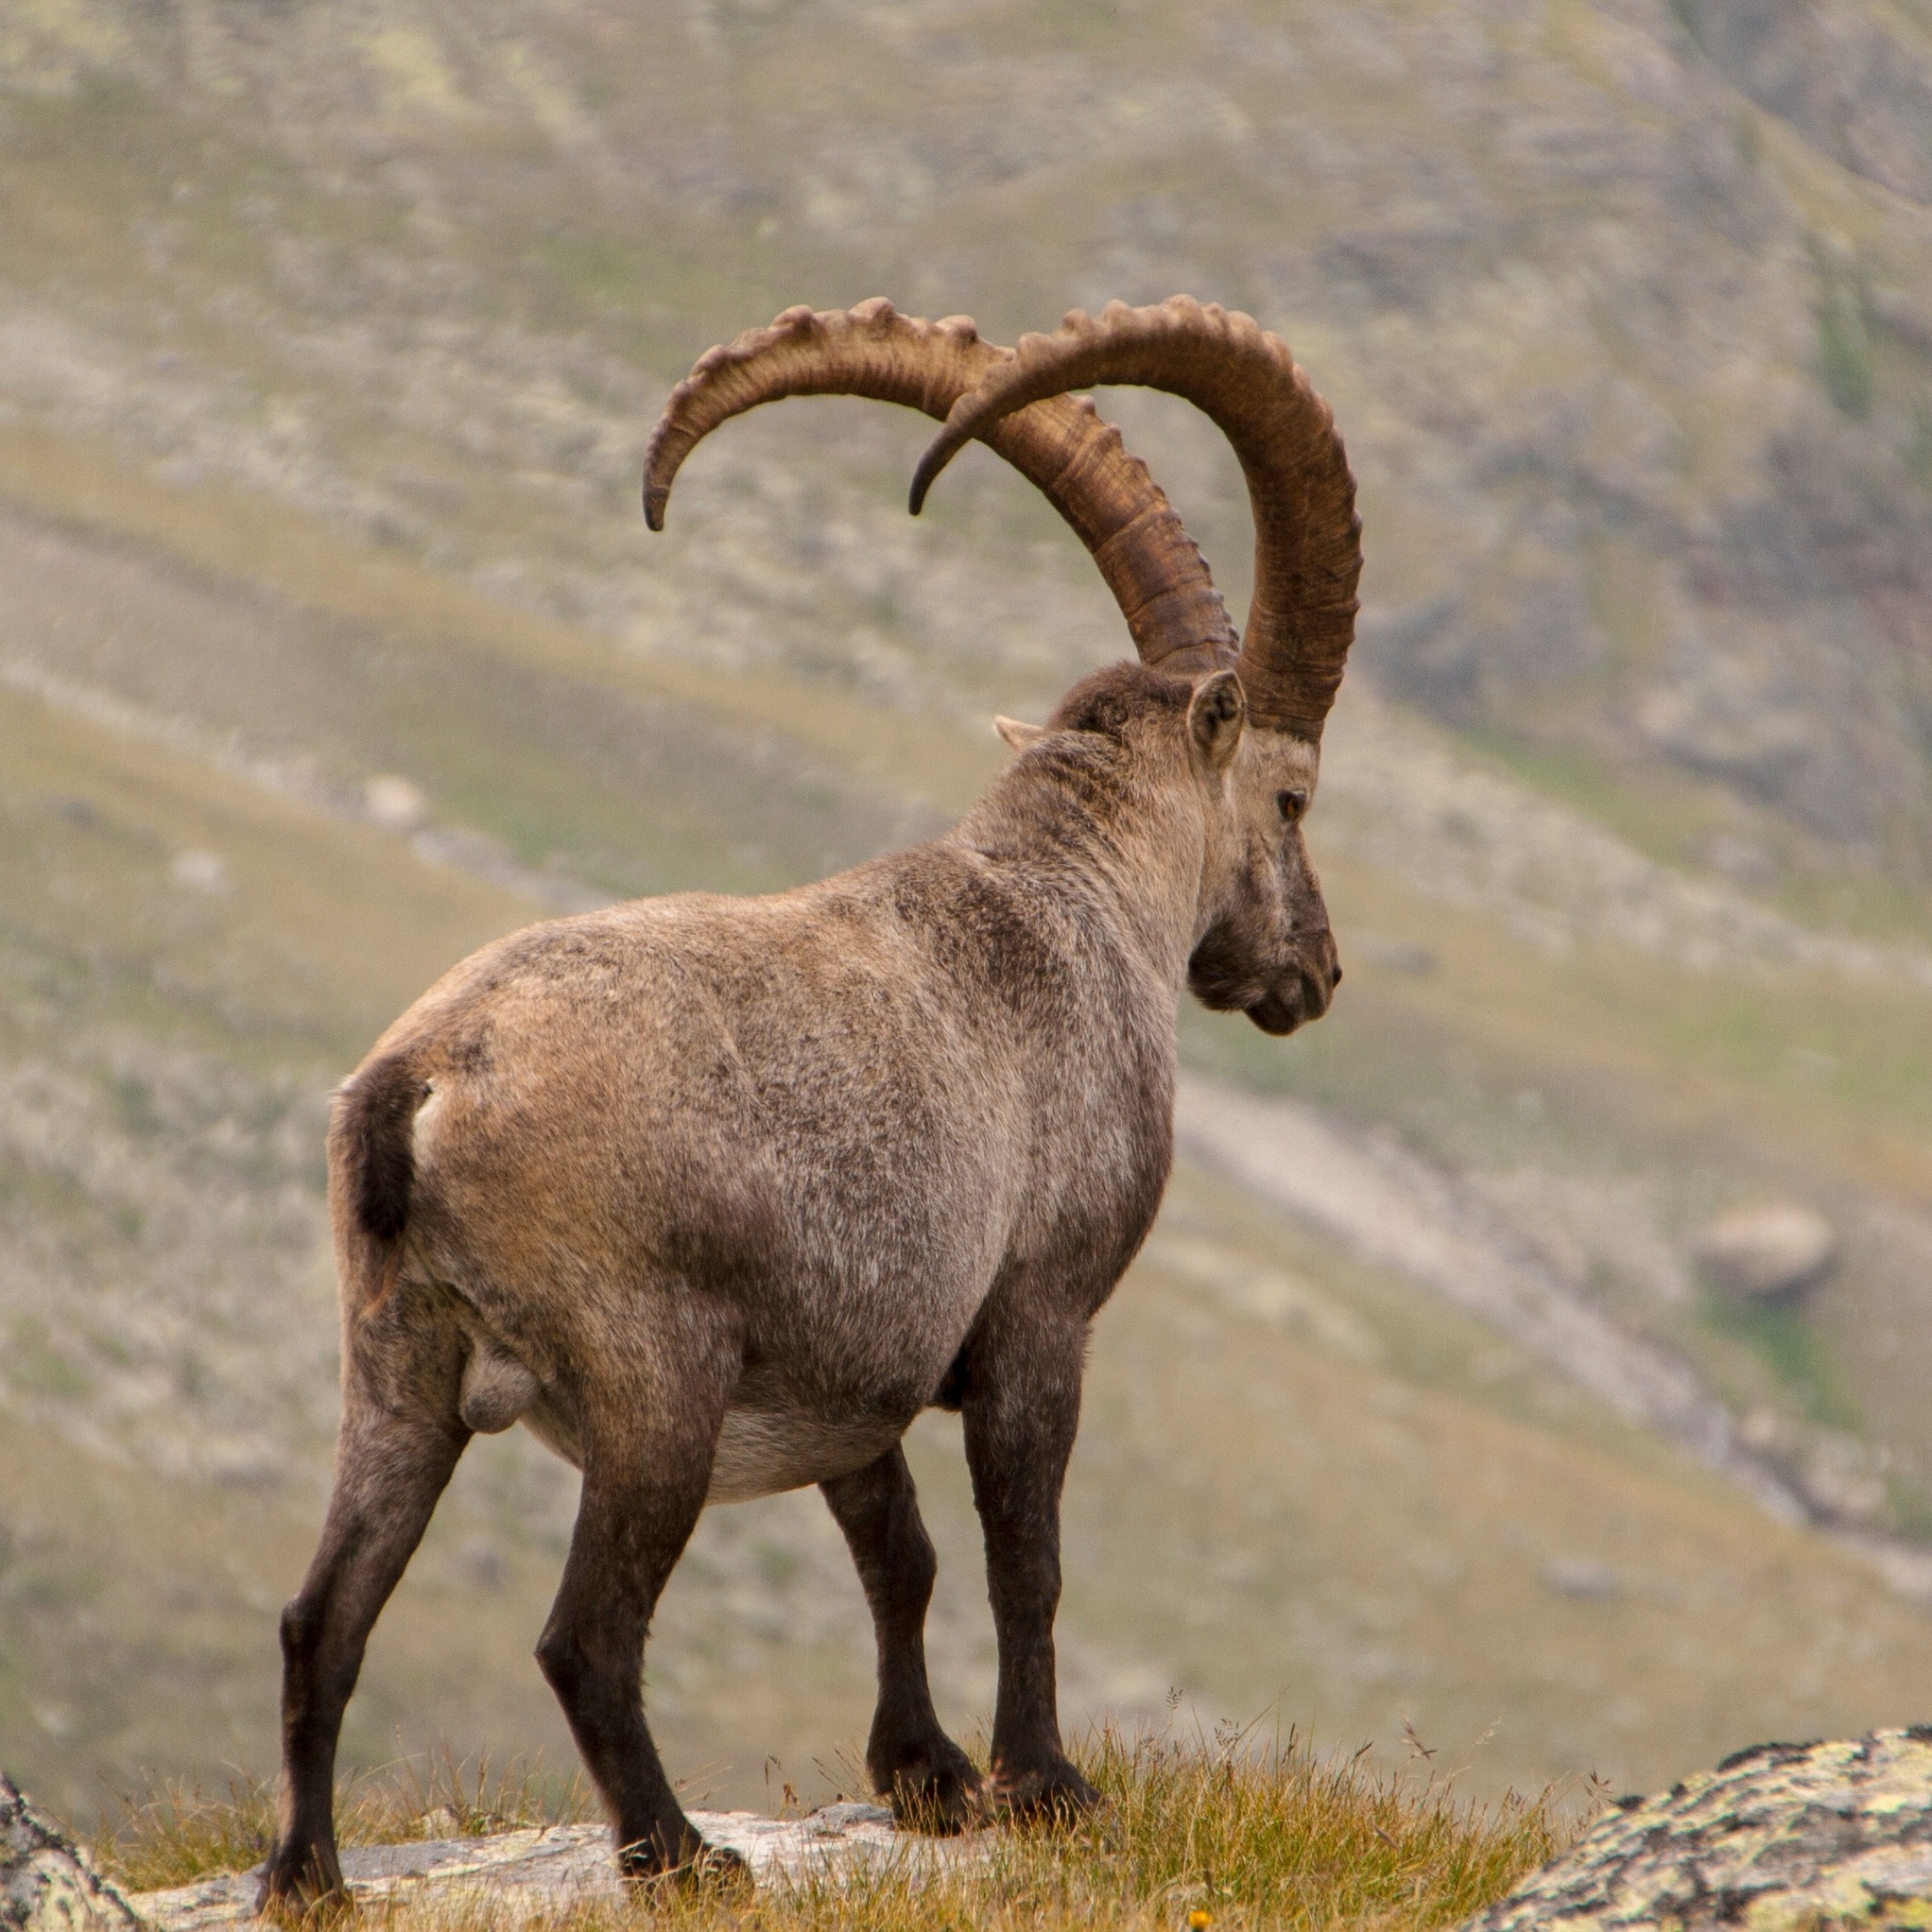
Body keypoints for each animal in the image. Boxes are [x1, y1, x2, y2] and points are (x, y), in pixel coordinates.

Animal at [259, 295, 1361, 1904]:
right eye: (1290, 799)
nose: (1314, 973)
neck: (1071, 899)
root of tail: (420, 1085)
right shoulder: (1037, 1315)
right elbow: (1021, 1554)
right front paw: (1046, 1785)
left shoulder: (864, 1362)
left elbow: (895, 1552)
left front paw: (927, 1775)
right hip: (651, 1387)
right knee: (583, 1638)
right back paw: (679, 1855)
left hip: (397, 1366)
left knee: (320, 1618)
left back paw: (311, 1878)